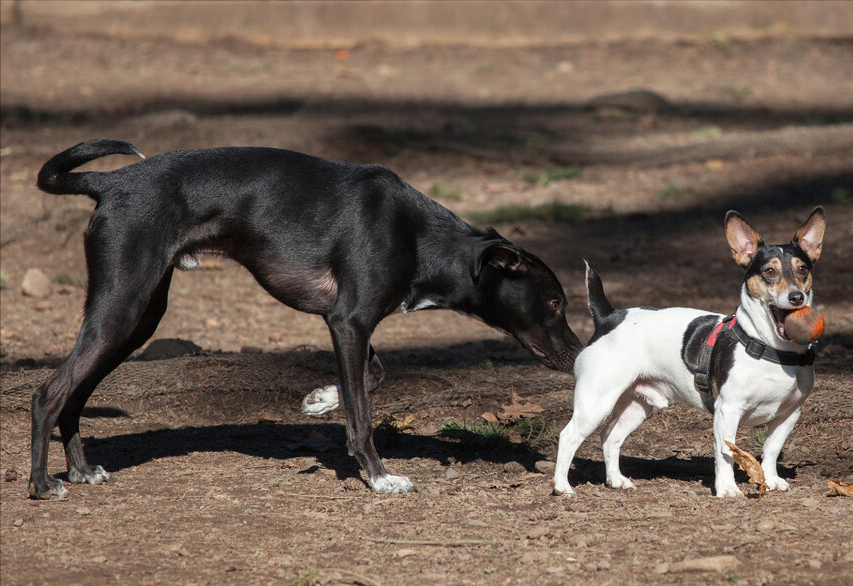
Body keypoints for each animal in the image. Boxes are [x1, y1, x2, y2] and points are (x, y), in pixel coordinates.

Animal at [30, 138, 584, 498]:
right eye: (557, 303)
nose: (580, 354)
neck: (418, 236)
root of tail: (111, 182)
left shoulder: (350, 324)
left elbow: (373, 376)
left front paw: (320, 399)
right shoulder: (350, 322)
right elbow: (362, 416)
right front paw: (378, 477)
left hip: (136, 320)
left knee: (74, 393)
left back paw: (80, 471)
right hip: (121, 309)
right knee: (48, 393)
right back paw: (41, 483)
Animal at [552, 208, 824, 496]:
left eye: (803, 270)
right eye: (770, 272)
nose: (796, 297)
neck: (774, 350)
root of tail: (608, 317)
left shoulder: (789, 414)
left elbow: (771, 450)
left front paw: (771, 480)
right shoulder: (728, 411)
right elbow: (726, 455)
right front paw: (727, 489)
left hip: (637, 405)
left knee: (610, 437)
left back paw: (616, 479)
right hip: (595, 402)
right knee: (569, 436)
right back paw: (562, 486)